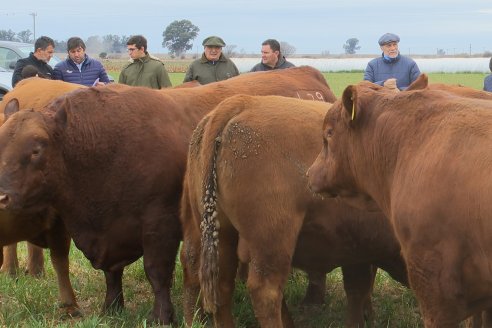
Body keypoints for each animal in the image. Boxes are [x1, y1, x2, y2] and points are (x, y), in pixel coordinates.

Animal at [0, 66, 334, 322]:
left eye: (36, 149)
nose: (2, 197)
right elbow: (112, 273)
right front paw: (112, 307)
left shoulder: (159, 222)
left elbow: (156, 271)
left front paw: (162, 315)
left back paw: (313, 298)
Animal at [181, 93, 408, 326]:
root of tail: (240, 102)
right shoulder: (360, 248)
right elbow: (358, 290)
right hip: (273, 239)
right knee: (266, 291)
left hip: (222, 235)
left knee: (221, 287)